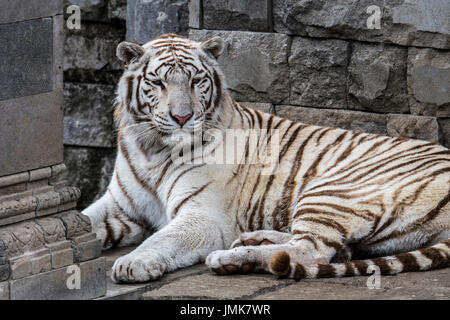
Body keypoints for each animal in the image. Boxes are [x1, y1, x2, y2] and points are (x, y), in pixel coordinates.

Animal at [81, 33, 450, 282]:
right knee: (330, 247)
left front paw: (134, 263)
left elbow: (163, 236)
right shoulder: (118, 205)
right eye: (157, 82)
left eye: (196, 80)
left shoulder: (204, 216)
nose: (182, 117)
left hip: (333, 190)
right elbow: (84, 221)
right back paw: (252, 240)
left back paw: (232, 258)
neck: (153, 149)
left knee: (310, 252)